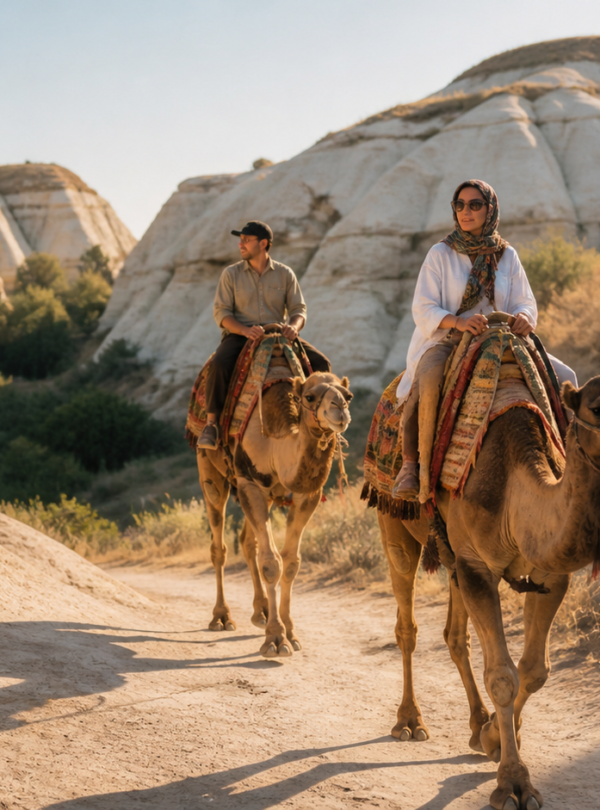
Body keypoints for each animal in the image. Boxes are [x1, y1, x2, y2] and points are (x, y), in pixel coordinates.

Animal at [197, 349, 352, 659]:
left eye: (348, 395)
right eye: (310, 397)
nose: (340, 409)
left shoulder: (306, 496)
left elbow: (291, 562)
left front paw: (290, 632)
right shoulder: (249, 484)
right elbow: (271, 562)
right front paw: (275, 640)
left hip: (265, 496)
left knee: (247, 542)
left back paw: (262, 612)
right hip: (210, 471)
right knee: (219, 546)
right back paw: (222, 617)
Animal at [376, 373, 600, 810]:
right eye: (597, 408)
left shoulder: (548, 574)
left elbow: (535, 670)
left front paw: (495, 735)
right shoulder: (477, 566)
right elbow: (502, 676)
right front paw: (513, 783)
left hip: (451, 559)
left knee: (454, 635)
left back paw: (477, 722)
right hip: (394, 522)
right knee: (407, 623)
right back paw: (410, 721)